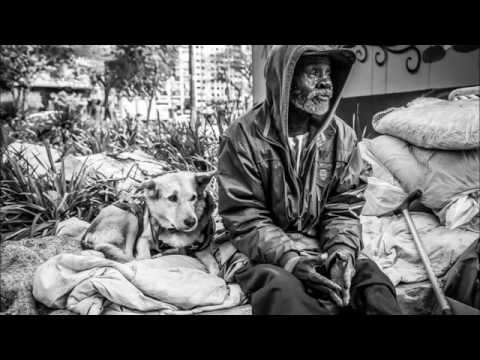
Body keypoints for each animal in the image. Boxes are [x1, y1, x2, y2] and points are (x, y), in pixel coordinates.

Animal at [80, 172, 219, 276]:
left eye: (193, 198)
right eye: (172, 198)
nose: (191, 222)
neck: (173, 229)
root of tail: (88, 233)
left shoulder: (202, 250)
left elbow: (215, 268)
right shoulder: (142, 239)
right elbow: (144, 257)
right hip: (133, 217)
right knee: (129, 256)